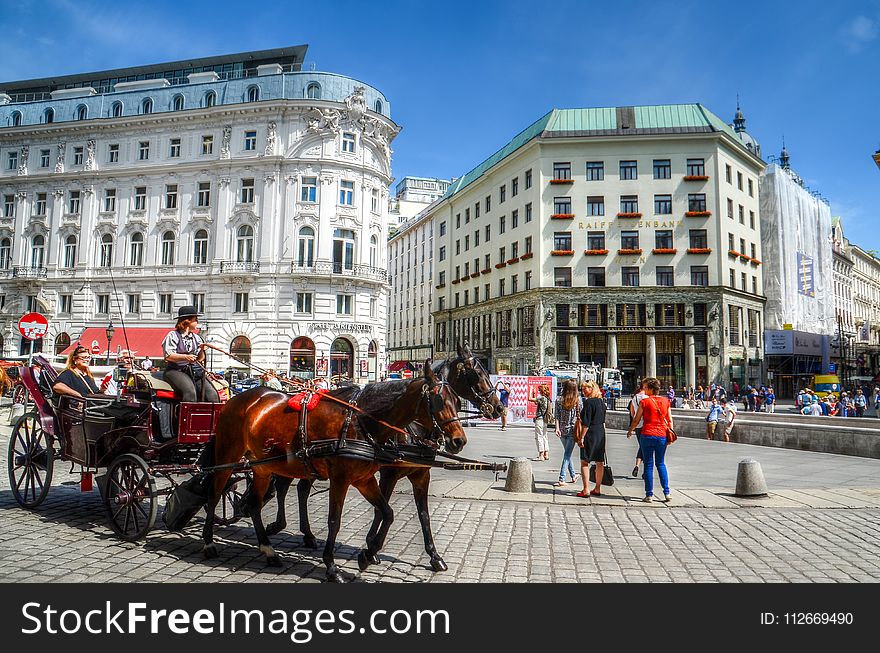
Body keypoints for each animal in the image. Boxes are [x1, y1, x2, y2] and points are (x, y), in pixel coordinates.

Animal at [201, 362, 468, 580]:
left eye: (457, 401)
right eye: (438, 401)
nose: (459, 441)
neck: (359, 421)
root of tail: (240, 398)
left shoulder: (366, 478)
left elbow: (389, 513)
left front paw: (368, 554)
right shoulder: (343, 479)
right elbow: (335, 520)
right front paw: (331, 566)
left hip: (265, 466)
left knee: (258, 503)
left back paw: (269, 549)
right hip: (229, 455)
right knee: (214, 493)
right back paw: (209, 543)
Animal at [264, 346, 502, 572]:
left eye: (455, 400)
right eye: (476, 373)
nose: (498, 407)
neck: (413, 427)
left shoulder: (421, 475)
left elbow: (423, 514)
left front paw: (434, 556)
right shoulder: (389, 474)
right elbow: (382, 509)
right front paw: (371, 548)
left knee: (300, 489)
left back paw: (306, 534)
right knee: (284, 485)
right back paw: (278, 526)